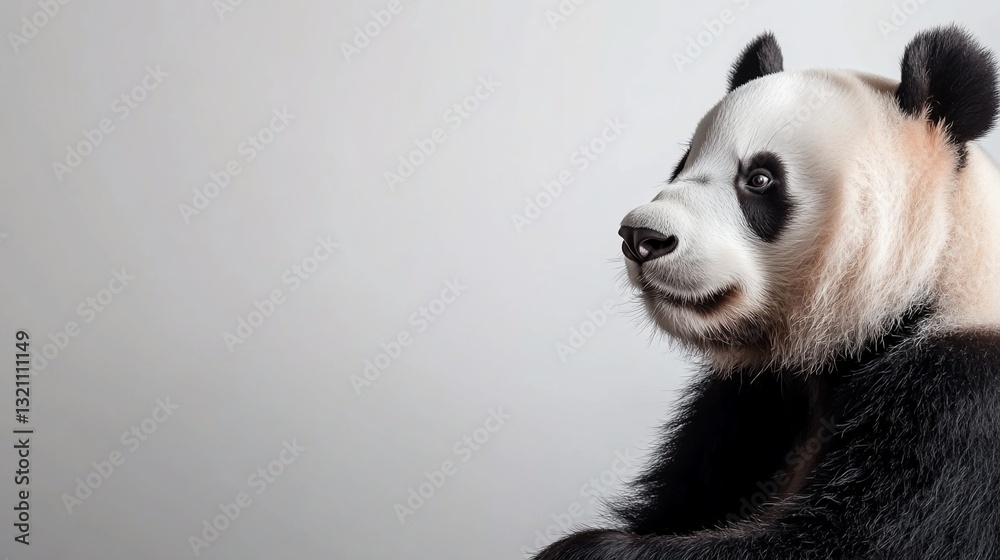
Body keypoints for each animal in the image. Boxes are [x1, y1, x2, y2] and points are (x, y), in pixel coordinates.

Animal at [534, 26, 1000, 560]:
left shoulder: (960, 404)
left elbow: (858, 539)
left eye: (759, 179)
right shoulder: (753, 402)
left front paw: (584, 548)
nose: (642, 237)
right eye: (682, 163)